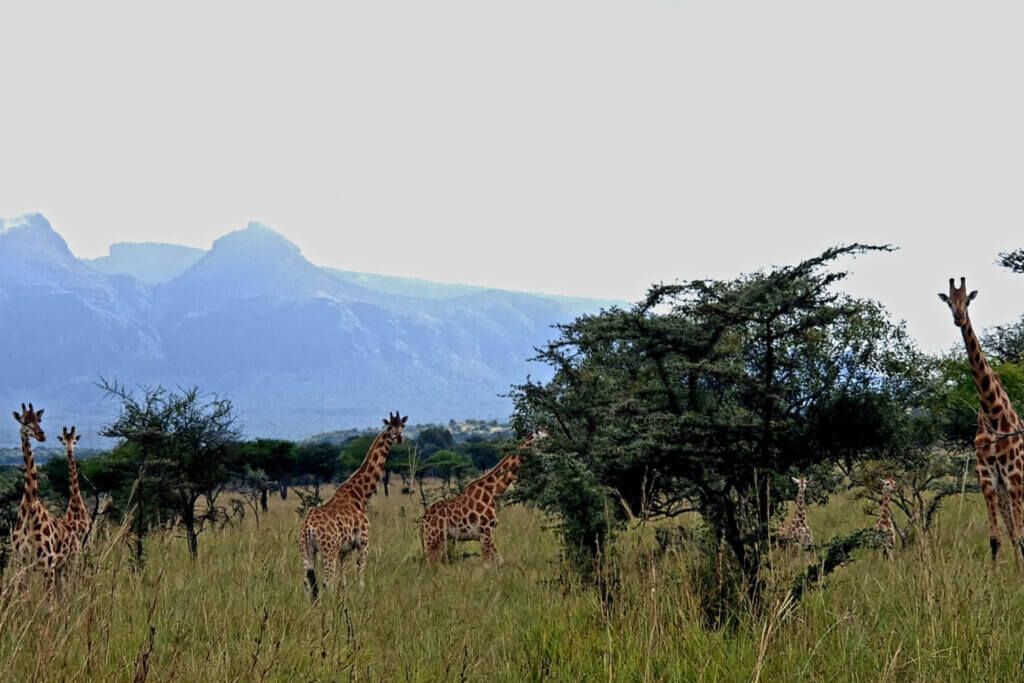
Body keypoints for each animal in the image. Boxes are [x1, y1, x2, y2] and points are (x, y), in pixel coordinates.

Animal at [10, 403, 81, 599]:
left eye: (39, 419)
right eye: (25, 421)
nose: (41, 435)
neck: (29, 507)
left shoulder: (48, 563)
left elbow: (48, 603)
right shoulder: (22, 565)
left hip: (71, 562)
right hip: (59, 568)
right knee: (62, 596)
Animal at [299, 411, 407, 599]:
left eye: (402, 425)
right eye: (390, 427)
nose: (399, 437)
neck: (359, 495)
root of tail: (308, 527)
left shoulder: (343, 551)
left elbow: (343, 582)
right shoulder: (363, 541)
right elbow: (360, 577)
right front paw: (362, 597)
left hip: (307, 552)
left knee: (308, 584)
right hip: (328, 551)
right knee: (326, 583)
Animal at [421, 430, 546, 566]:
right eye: (543, 438)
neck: (492, 492)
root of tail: (424, 519)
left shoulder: (487, 534)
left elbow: (500, 561)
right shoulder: (485, 532)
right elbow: (487, 563)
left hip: (443, 539)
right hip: (434, 538)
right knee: (430, 563)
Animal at [939, 277, 1024, 562]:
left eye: (967, 301)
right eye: (949, 302)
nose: (959, 318)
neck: (992, 412)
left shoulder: (1014, 475)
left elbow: (1020, 537)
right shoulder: (988, 478)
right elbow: (997, 539)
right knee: (1013, 533)